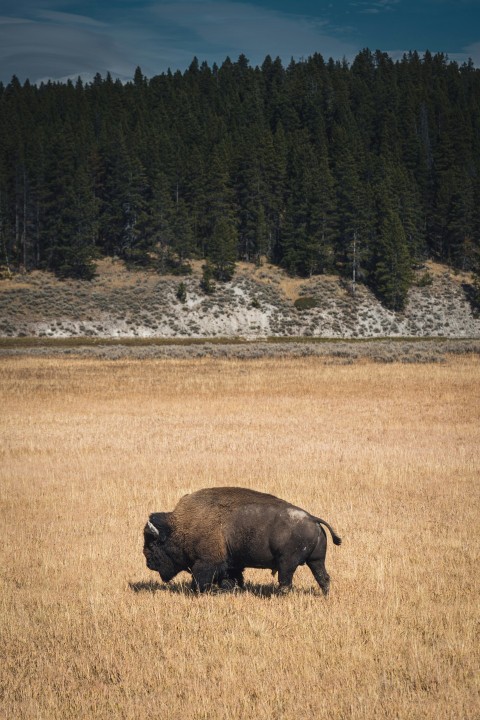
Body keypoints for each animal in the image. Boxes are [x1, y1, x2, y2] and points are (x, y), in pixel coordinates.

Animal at [143, 487, 341, 594]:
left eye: (152, 545)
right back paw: (325, 596)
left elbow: (201, 579)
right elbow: (231, 579)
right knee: (323, 577)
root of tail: (313, 519)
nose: (148, 563)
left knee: (286, 582)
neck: (180, 526)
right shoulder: (232, 565)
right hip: (316, 560)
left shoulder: (207, 563)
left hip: (287, 564)